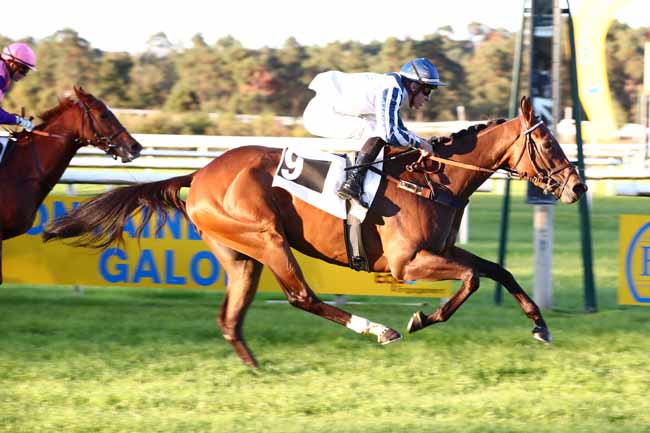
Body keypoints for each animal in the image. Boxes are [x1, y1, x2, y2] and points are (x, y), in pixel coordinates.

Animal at [42, 97, 586, 368]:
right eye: (546, 142)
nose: (577, 186)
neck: (435, 179)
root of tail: (199, 174)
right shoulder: (409, 261)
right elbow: (473, 280)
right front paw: (420, 317)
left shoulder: (442, 248)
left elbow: (498, 269)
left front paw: (540, 325)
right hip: (267, 239)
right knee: (300, 296)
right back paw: (378, 330)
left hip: (241, 256)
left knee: (230, 317)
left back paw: (258, 369)